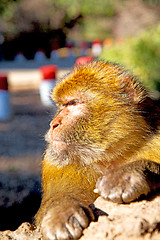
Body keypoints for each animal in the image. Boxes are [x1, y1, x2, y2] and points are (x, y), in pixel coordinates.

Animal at [35, 60, 160, 240]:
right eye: (61, 106)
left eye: (73, 103)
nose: (53, 124)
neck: (110, 158)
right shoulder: (55, 164)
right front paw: (60, 211)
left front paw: (128, 173)